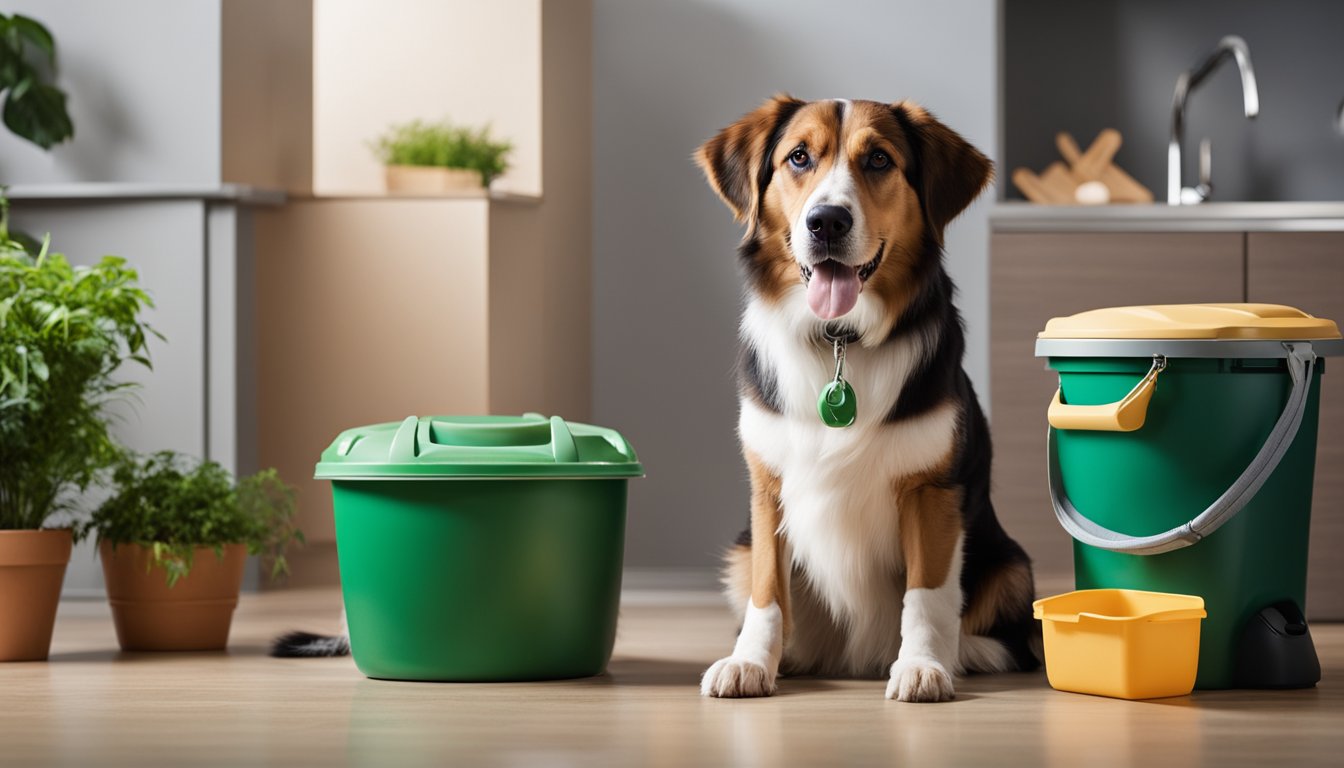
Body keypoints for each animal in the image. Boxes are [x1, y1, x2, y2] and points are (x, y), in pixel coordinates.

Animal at [693, 94, 1037, 704]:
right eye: (798, 157)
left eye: (879, 159)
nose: (827, 221)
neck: (840, 340)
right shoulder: (768, 489)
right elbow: (767, 593)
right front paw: (751, 662)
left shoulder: (930, 491)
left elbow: (927, 595)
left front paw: (924, 665)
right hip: (738, 550)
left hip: (1012, 564)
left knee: (1008, 637)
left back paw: (966, 654)